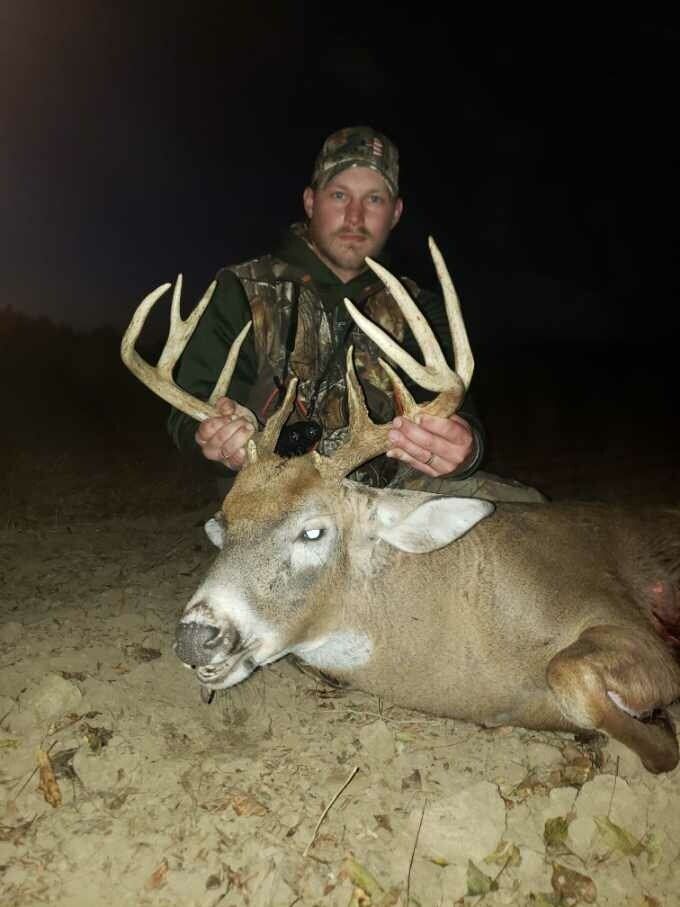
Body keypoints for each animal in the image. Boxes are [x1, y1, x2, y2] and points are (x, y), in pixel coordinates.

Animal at [121, 239, 680, 774]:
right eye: (223, 525)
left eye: (313, 531)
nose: (195, 638)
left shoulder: (624, 622)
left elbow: (571, 674)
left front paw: (654, 737)